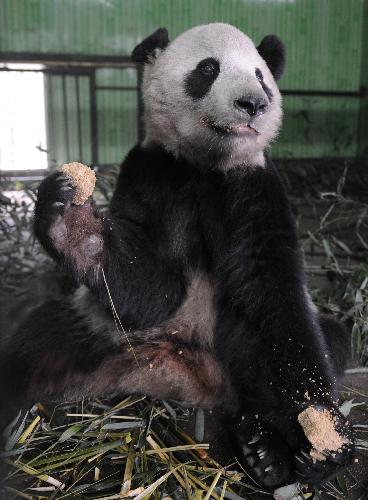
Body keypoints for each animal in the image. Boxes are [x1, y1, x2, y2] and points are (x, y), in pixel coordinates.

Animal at [0, 23, 356, 488]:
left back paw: (264, 450)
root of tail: (189, 374)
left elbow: (270, 293)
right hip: (106, 336)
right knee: (36, 344)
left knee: (331, 338)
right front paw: (71, 221)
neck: (205, 165)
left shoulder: (254, 182)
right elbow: (152, 289)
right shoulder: (152, 170)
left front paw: (319, 437)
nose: (254, 104)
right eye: (207, 69)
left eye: (261, 76)